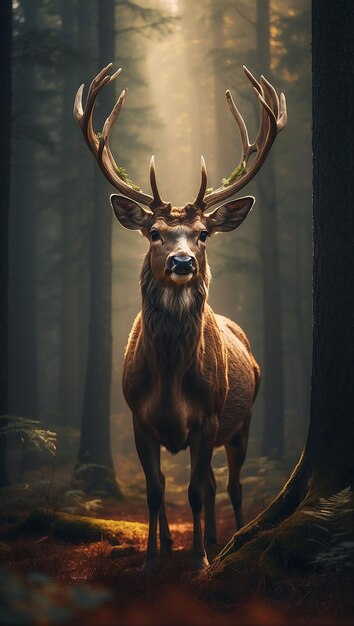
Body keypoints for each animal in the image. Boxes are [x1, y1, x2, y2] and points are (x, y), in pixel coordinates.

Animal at [73, 63, 286, 572]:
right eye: (154, 232)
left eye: (203, 233)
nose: (183, 262)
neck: (169, 378)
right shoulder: (138, 417)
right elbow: (156, 491)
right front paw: (153, 557)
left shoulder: (207, 417)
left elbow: (195, 491)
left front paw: (200, 561)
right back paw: (182, 542)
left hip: (242, 421)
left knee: (228, 486)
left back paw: (224, 541)